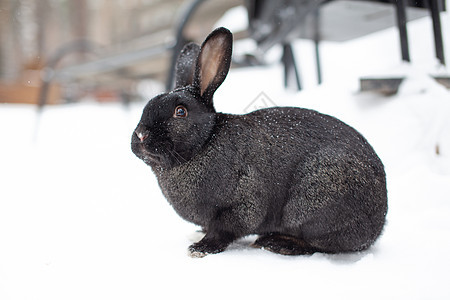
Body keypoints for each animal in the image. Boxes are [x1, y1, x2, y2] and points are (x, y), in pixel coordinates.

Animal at [130, 27, 386, 258]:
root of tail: (379, 223)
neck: (203, 143)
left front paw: (200, 248)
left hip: (317, 200)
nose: (141, 135)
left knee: (320, 245)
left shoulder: (242, 202)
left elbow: (225, 230)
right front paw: (197, 234)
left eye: (180, 112)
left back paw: (277, 243)